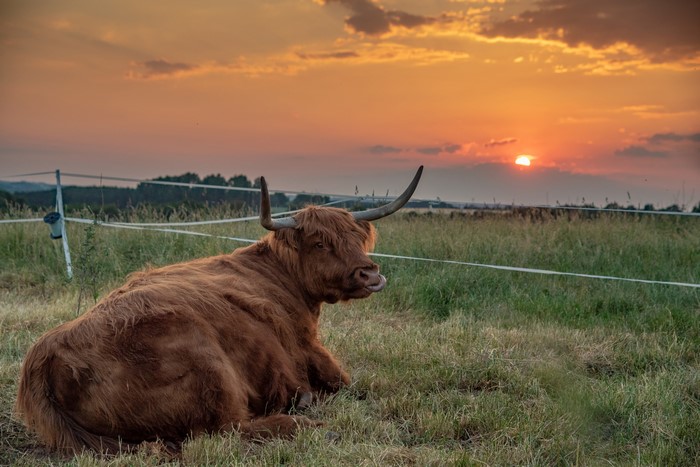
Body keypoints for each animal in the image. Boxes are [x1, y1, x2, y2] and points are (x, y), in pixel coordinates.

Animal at [15, 167, 423, 455]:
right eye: (320, 243)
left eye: (356, 238)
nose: (370, 273)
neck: (281, 275)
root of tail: (46, 354)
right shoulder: (312, 351)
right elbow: (353, 386)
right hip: (210, 368)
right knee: (227, 430)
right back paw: (312, 422)